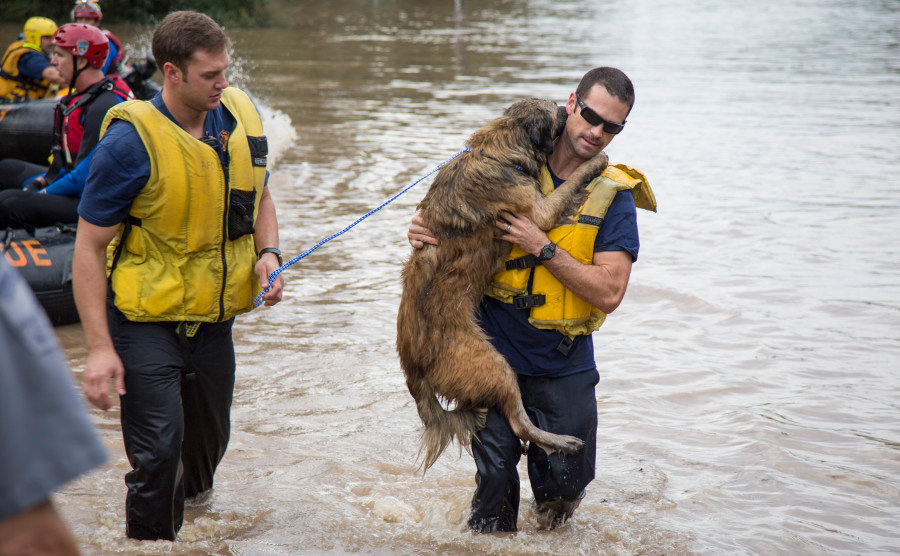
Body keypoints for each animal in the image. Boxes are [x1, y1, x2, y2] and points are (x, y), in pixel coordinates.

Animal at [398, 97, 608, 472]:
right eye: (557, 110)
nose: (566, 108)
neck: (498, 150)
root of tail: (413, 367)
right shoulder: (537, 212)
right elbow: (569, 185)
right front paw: (594, 162)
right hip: (495, 366)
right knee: (518, 421)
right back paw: (562, 441)